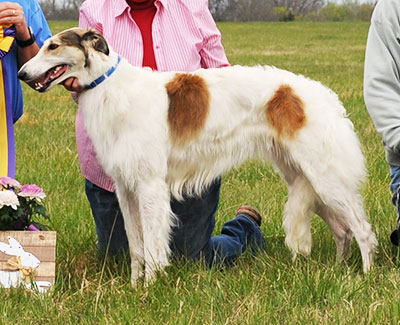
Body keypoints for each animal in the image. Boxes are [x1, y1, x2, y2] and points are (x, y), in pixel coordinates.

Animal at [17, 28, 376, 284]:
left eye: (53, 46)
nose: (21, 74)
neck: (110, 87)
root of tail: (322, 95)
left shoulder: (150, 185)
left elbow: (152, 246)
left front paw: (150, 289)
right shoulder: (125, 187)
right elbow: (135, 247)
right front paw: (134, 286)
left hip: (324, 175)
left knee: (361, 229)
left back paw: (365, 275)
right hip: (304, 175)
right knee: (342, 230)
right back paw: (339, 270)